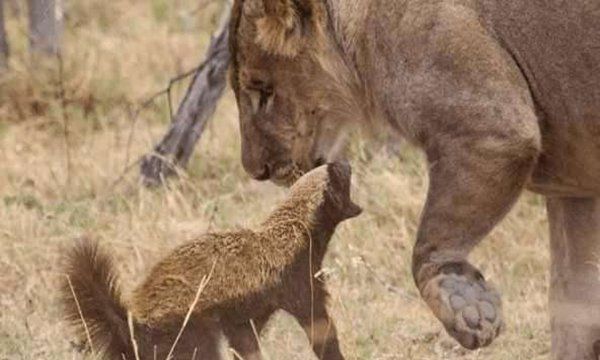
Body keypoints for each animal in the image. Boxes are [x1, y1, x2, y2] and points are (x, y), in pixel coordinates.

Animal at [227, 1, 600, 358]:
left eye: (263, 90)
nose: (256, 169)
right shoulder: (575, 190)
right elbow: (572, 300)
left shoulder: (493, 132)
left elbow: (432, 240)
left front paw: (467, 306)